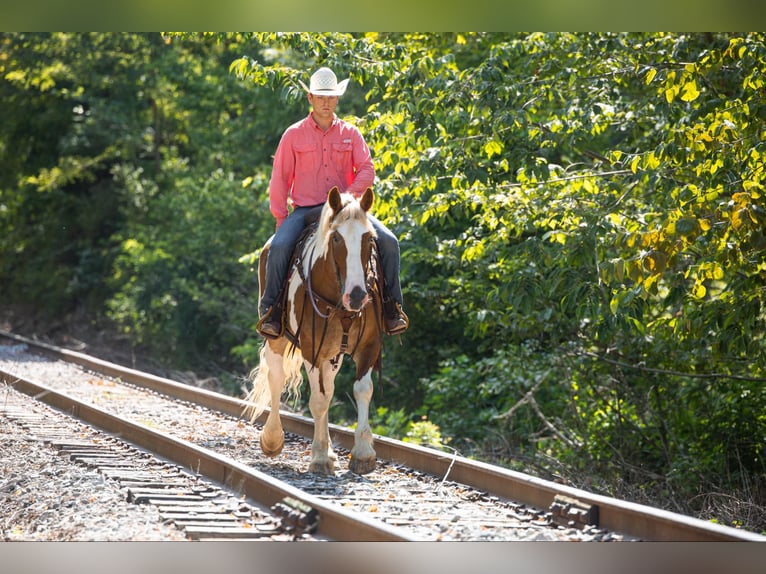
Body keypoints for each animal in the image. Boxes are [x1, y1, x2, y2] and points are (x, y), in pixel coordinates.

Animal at [244, 187, 384, 475]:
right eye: (336, 238)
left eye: (368, 238)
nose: (357, 295)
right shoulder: (311, 347)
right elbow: (318, 400)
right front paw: (319, 457)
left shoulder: (369, 346)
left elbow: (361, 390)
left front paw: (362, 453)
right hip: (277, 339)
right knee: (277, 378)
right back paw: (272, 438)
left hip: (333, 353)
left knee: (328, 387)